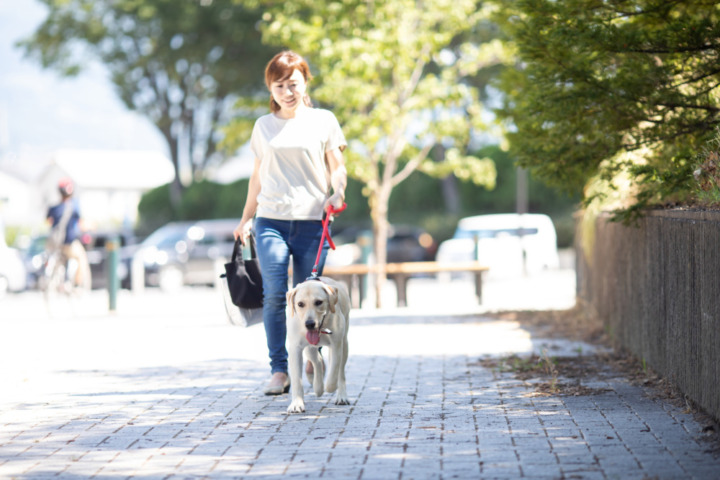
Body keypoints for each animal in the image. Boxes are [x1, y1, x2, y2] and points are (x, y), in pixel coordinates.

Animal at [288, 276, 352, 414]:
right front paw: (296, 404)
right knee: (317, 361)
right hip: (309, 348)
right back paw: (318, 387)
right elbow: (296, 380)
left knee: (340, 372)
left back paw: (341, 396)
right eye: (300, 304)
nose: (309, 324)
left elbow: (334, 371)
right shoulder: (295, 348)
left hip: (344, 345)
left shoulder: (336, 344)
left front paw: (330, 387)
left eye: (318, 302)